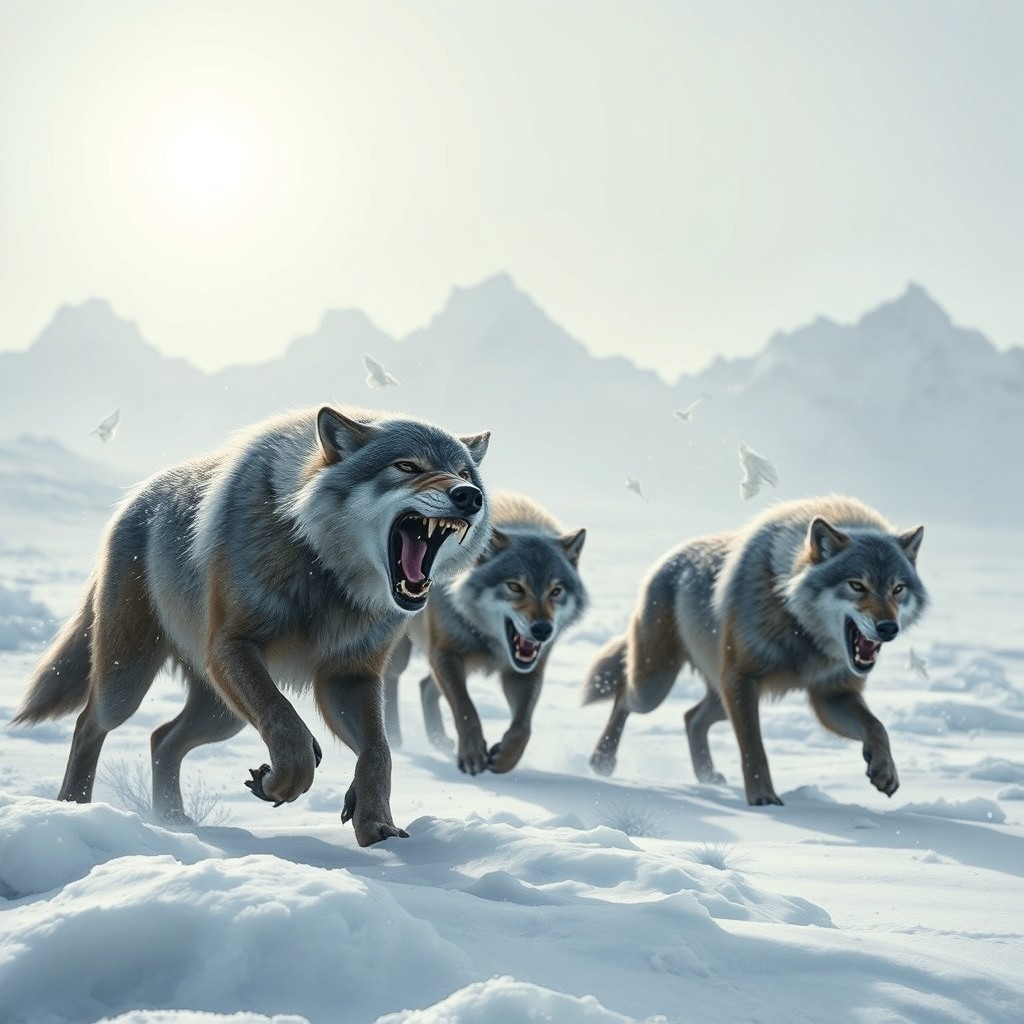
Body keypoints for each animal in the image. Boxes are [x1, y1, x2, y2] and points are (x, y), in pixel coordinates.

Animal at [13, 405, 491, 846]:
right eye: (407, 467)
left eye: (463, 472)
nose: (470, 496)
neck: (322, 572)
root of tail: (132, 499)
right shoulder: (233, 647)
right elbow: (289, 729)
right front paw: (281, 782)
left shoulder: (351, 676)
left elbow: (379, 752)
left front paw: (375, 825)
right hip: (129, 682)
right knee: (89, 724)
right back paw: (74, 809)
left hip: (221, 713)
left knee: (162, 738)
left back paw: (173, 821)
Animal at [383, 492, 587, 774]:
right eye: (515, 587)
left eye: (555, 591)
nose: (543, 630)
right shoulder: (445, 654)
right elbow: (465, 708)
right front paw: (472, 755)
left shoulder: (526, 671)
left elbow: (522, 727)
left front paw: (503, 759)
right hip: (402, 652)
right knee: (391, 680)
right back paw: (395, 739)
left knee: (425, 686)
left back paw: (439, 741)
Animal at [583, 496, 927, 805]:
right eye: (857, 585)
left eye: (897, 589)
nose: (888, 628)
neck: (800, 629)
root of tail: (668, 557)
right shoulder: (742, 680)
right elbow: (753, 747)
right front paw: (763, 799)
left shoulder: (831, 695)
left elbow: (877, 726)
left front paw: (884, 770)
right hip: (656, 687)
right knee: (624, 697)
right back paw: (602, 761)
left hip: (720, 696)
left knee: (691, 717)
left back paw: (707, 777)